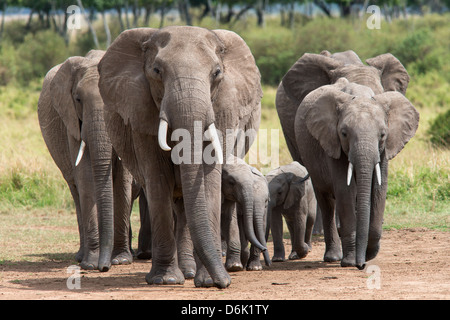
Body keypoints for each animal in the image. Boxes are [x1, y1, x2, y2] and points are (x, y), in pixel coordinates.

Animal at [37, 51, 136, 272]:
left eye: (115, 99)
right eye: (78, 99)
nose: (104, 267)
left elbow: (123, 180)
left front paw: (121, 260)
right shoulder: (72, 122)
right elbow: (85, 177)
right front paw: (90, 264)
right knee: (75, 190)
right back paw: (80, 256)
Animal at [96, 26, 262, 288]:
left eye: (217, 73)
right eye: (156, 71)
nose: (224, 283)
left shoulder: (223, 109)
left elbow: (209, 179)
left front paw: (207, 281)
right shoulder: (141, 115)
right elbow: (157, 176)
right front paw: (165, 280)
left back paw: (192, 273)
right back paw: (183, 273)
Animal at [294, 78, 420, 270]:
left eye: (383, 134)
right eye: (344, 133)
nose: (361, 265)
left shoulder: (384, 150)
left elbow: (379, 189)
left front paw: (368, 254)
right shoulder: (333, 143)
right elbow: (345, 191)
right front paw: (350, 262)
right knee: (326, 201)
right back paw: (333, 257)